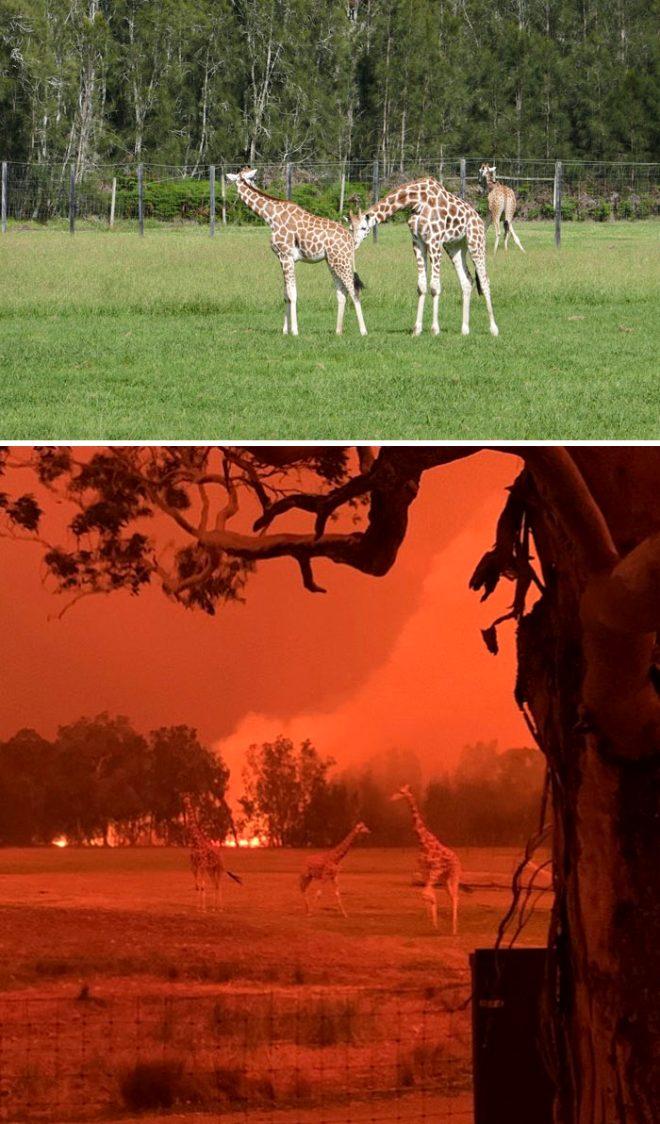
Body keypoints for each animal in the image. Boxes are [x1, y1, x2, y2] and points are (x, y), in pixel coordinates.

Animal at [228, 164, 368, 334]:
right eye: (252, 178)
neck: (270, 217)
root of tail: (350, 239)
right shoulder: (284, 258)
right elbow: (285, 294)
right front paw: (284, 331)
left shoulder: (286, 255)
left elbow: (292, 293)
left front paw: (294, 331)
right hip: (333, 261)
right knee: (341, 292)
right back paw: (338, 331)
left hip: (341, 261)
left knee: (354, 290)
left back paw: (363, 331)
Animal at [389, 786, 463, 935]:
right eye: (397, 790)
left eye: (401, 792)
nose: (391, 798)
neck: (423, 842)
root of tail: (457, 859)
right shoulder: (425, 871)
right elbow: (427, 893)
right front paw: (433, 924)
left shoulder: (435, 870)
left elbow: (426, 893)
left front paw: (434, 922)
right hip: (444, 878)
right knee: (452, 896)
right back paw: (451, 927)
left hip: (454, 875)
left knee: (455, 897)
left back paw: (454, 930)